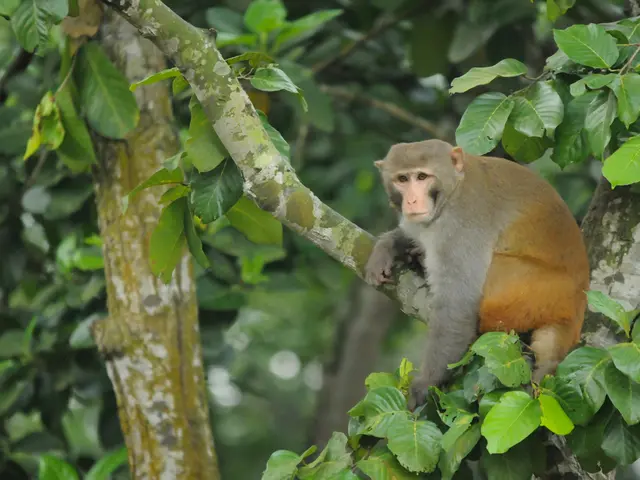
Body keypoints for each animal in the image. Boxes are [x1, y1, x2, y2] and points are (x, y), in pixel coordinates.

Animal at [365, 139, 590, 406]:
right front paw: (388, 247)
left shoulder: (460, 223)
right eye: (402, 179)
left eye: (421, 176)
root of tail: (579, 302)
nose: (411, 201)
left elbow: (457, 305)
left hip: (538, 289)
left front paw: (425, 384)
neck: (452, 188)